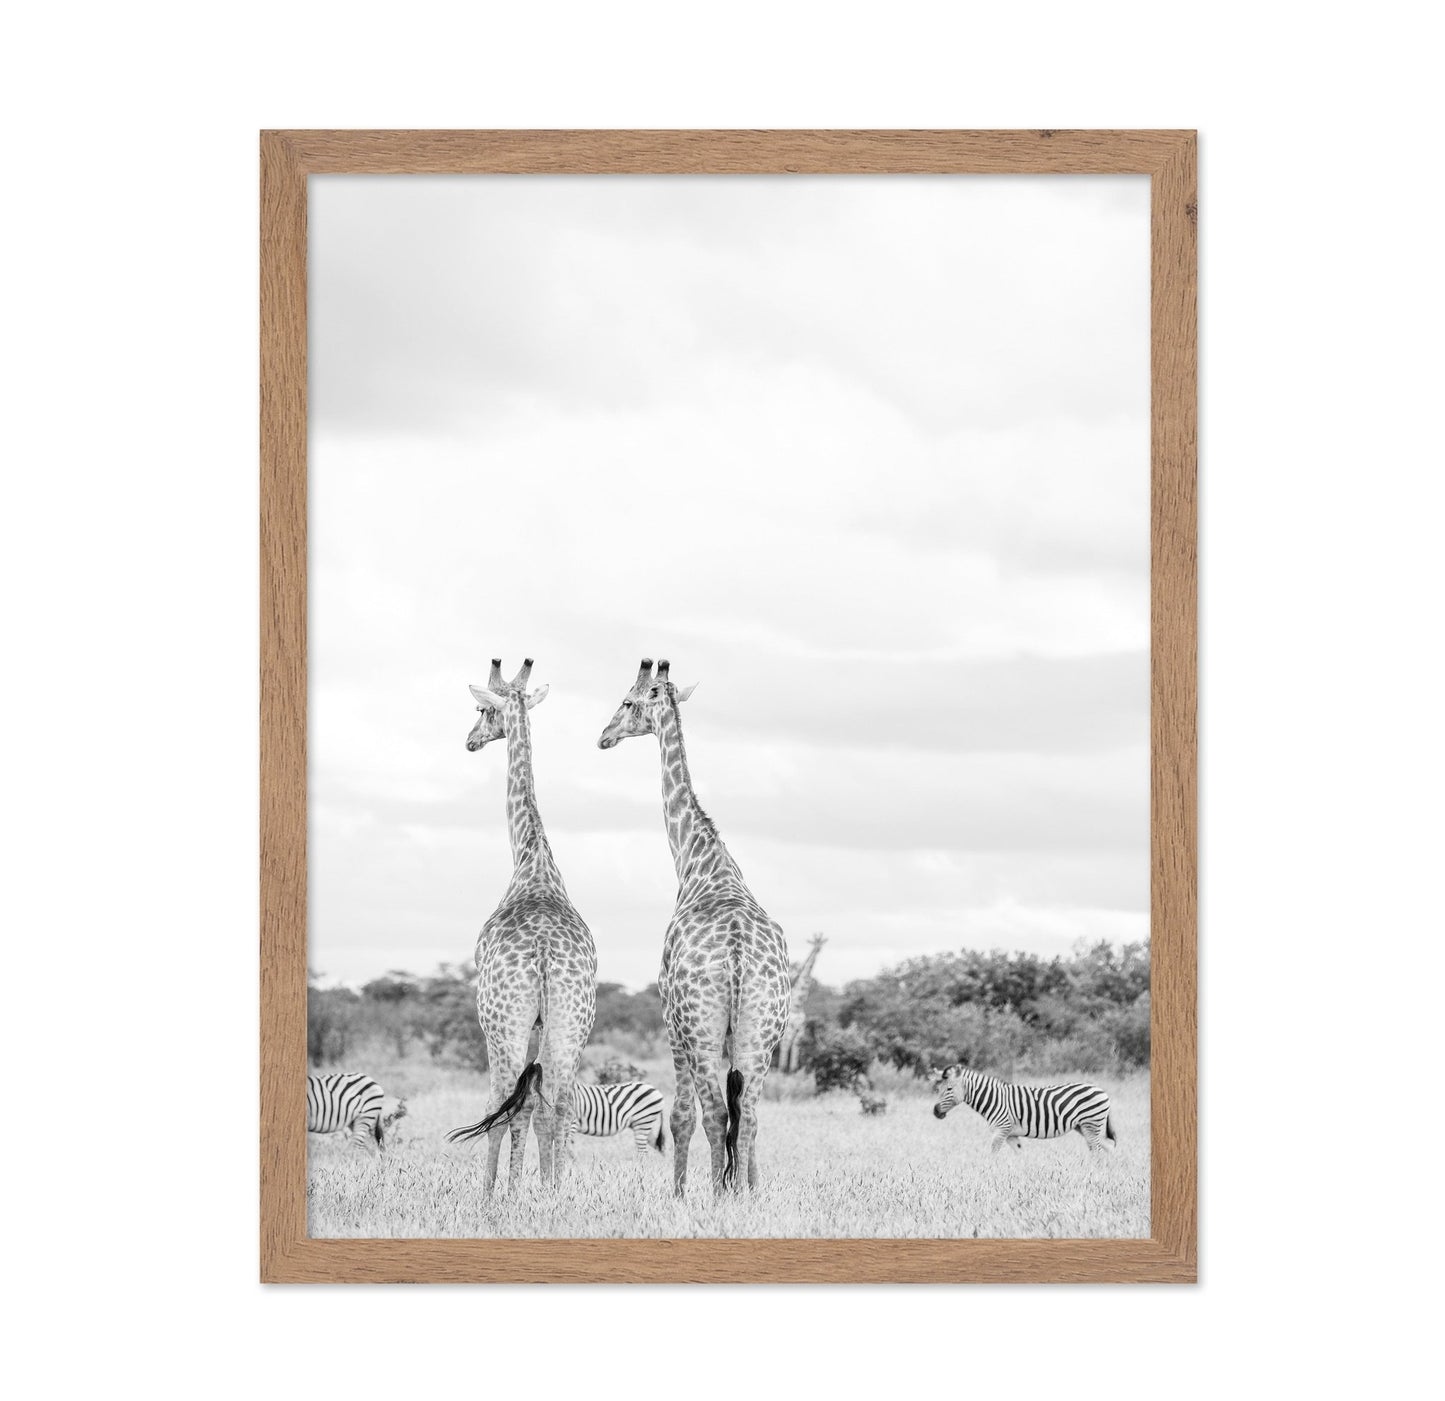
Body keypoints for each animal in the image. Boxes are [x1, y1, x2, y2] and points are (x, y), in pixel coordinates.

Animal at [447, 658, 598, 1194]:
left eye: (481, 710)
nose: (469, 740)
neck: (532, 862)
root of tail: (545, 957)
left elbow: (509, 1106)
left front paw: (501, 1191)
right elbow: (536, 1105)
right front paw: (529, 1186)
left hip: (502, 1024)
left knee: (500, 1103)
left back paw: (494, 1195)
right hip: (572, 1024)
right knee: (559, 1104)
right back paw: (555, 1192)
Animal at [597, 658, 791, 1196]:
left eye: (626, 701)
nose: (603, 736)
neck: (698, 861)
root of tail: (738, 955)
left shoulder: (670, 1020)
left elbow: (682, 1115)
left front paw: (681, 1193)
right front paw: (741, 1186)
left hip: (700, 1031)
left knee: (714, 1114)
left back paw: (716, 1194)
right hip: (763, 1033)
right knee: (748, 1115)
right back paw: (745, 1193)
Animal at [779, 933, 826, 1074]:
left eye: (821, 943)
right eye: (814, 943)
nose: (818, 949)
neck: (798, 1004)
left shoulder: (800, 1029)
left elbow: (795, 1048)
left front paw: (792, 1070)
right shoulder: (789, 1029)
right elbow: (786, 1046)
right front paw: (782, 1070)